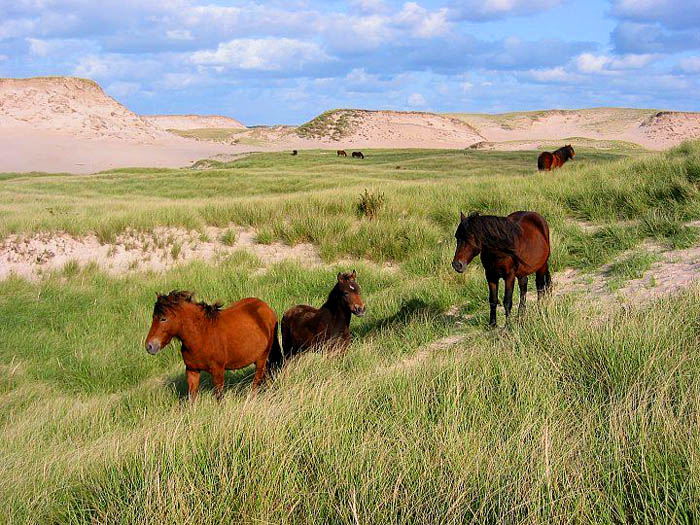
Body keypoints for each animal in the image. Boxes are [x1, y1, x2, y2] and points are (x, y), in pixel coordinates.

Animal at [145, 290, 282, 398]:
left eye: (163, 318)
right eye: (153, 317)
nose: (149, 346)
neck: (201, 336)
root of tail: (266, 307)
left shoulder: (217, 371)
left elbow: (219, 397)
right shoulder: (192, 371)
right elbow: (192, 398)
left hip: (262, 358)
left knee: (256, 381)